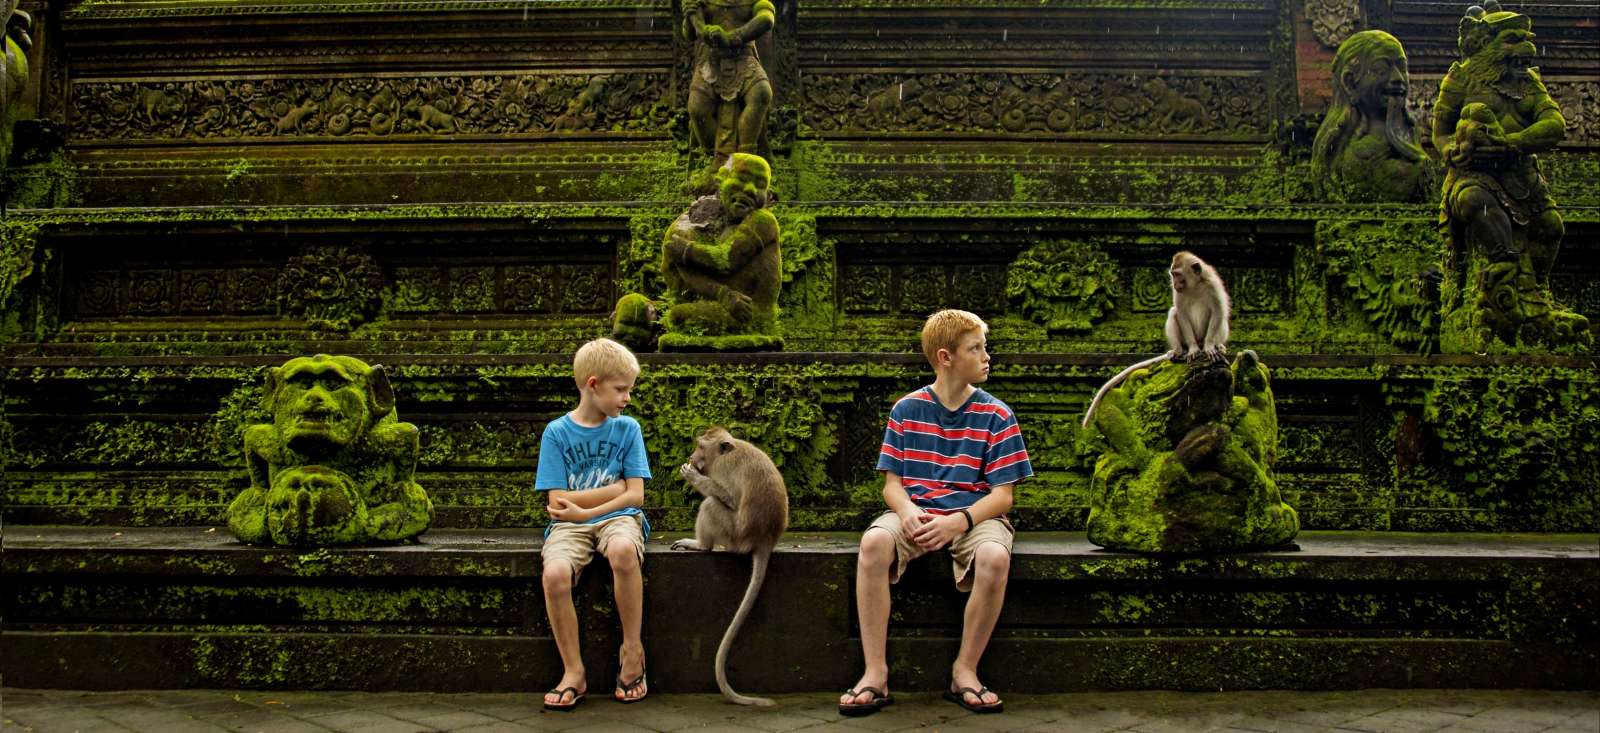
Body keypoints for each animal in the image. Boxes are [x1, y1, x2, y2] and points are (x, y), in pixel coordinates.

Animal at [668, 425, 787, 707]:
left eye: (701, 446)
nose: (692, 456)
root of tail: (765, 540)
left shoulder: (723, 470)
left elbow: (729, 498)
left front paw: (693, 476)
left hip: (733, 534)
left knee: (712, 504)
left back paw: (701, 545)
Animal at [1081, 251, 1228, 428]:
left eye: (1177, 274)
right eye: (1173, 275)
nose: (1174, 283)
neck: (1195, 286)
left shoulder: (1212, 286)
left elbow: (1218, 311)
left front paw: (1210, 347)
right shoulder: (1178, 294)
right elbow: (1181, 314)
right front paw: (1193, 349)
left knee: (1222, 318)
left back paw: (1217, 346)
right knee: (1174, 313)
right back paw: (1179, 351)